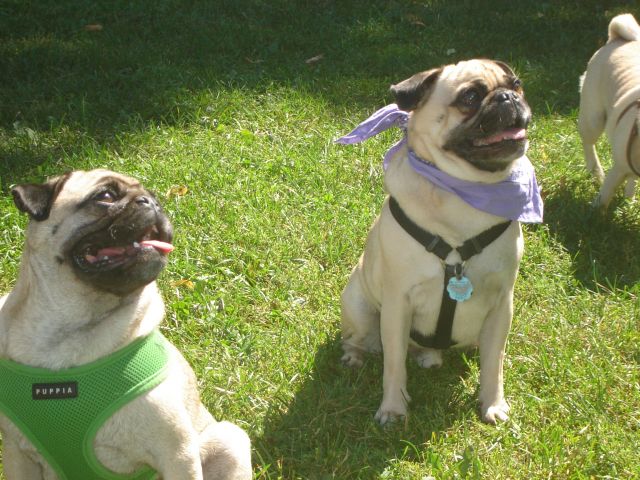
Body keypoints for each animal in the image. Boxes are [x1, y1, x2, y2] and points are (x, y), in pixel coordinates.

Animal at [0, 170, 252, 479]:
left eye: (154, 196)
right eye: (106, 196)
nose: (151, 203)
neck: (69, 329)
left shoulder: (177, 454)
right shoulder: (17, 454)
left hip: (229, 439)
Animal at [338, 59, 542, 425]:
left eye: (517, 85)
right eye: (470, 97)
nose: (506, 97)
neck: (465, 192)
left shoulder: (502, 303)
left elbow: (494, 363)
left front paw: (493, 403)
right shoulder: (398, 303)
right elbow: (394, 366)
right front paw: (393, 408)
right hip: (359, 306)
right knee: (360, 340)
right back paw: (354, 357)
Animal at [579, 13, 640, 209]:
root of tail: (618, 38)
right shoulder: (618, 169)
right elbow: (605, 194)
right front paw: (594, 213)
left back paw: (629, 197)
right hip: (593, 119)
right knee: (588, 144)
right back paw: (596, 171)